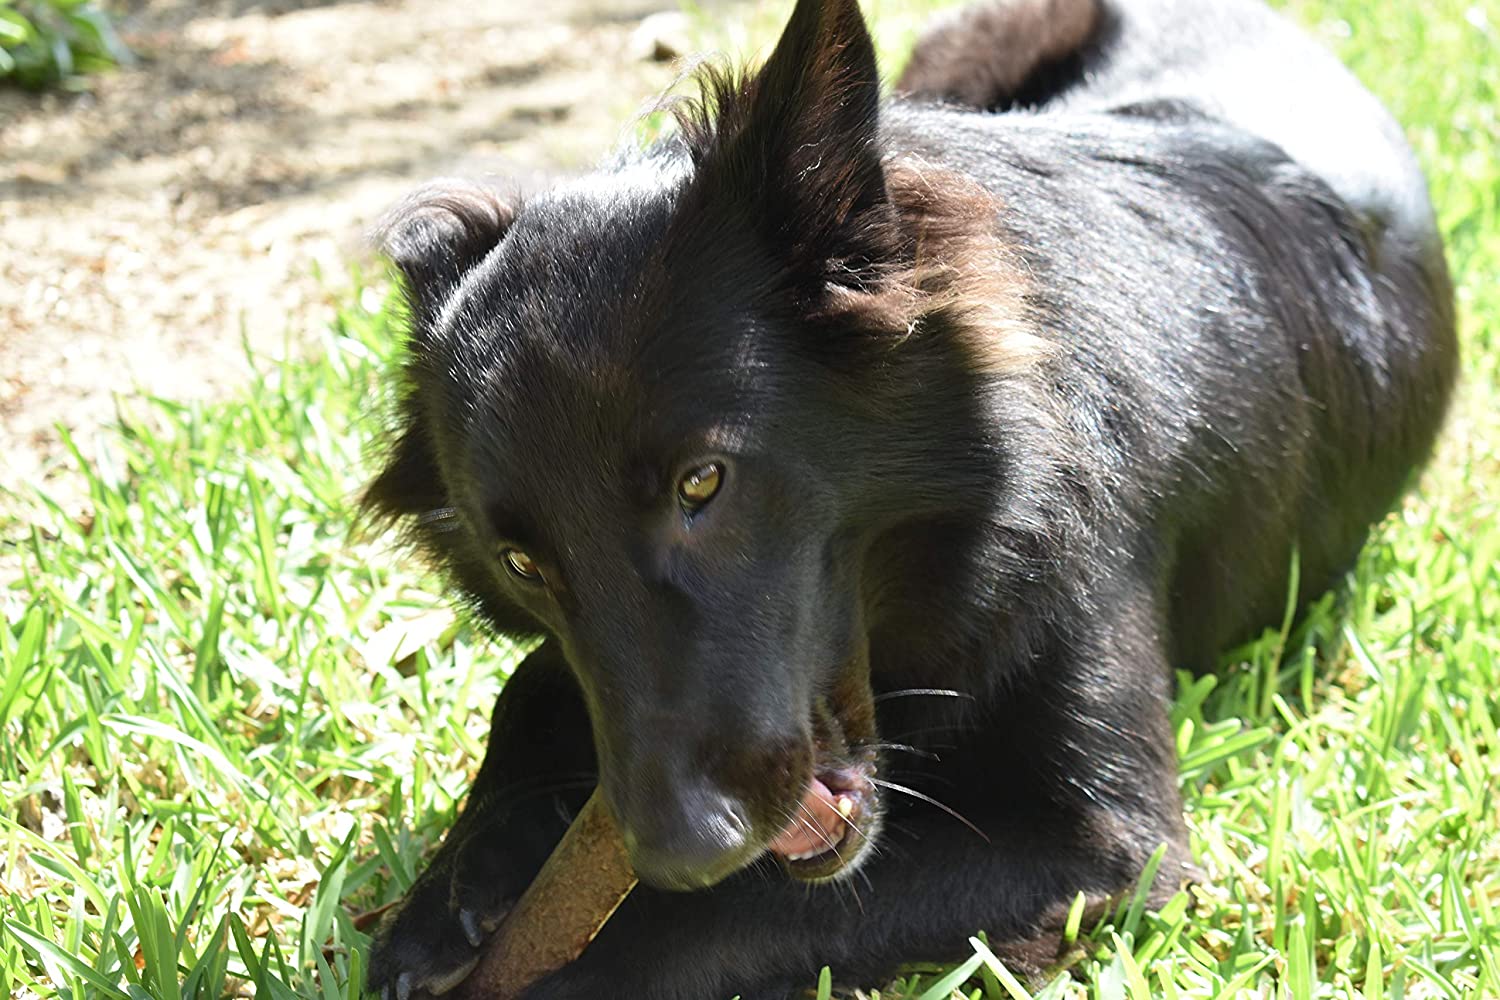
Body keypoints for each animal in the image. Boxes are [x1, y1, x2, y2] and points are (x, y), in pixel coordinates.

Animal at [360, 1, 1452, 995]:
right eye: (522, 562)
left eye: (702, 481)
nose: (682, 851)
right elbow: (528, 684)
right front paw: (450, 890)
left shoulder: (1106, 844)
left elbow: (722, 919)